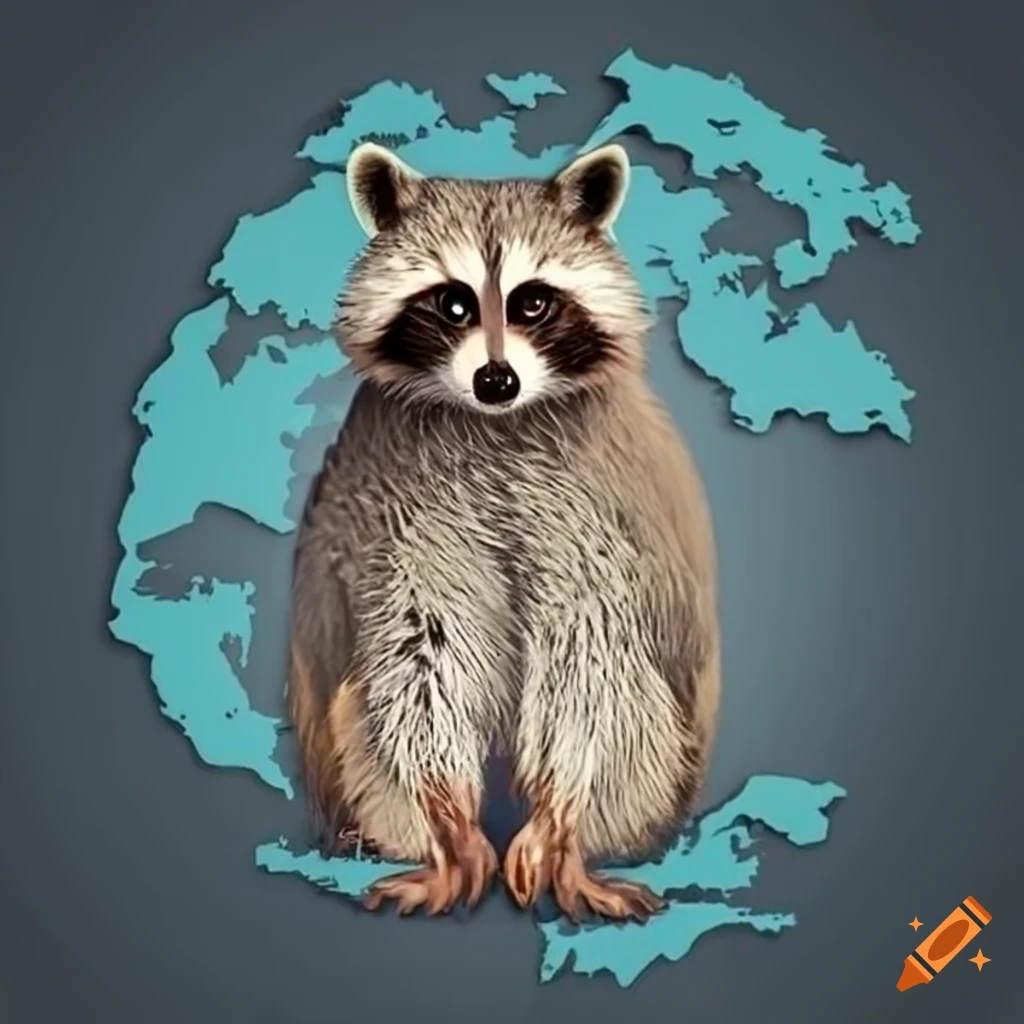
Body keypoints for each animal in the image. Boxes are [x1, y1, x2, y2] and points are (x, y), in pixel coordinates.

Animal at [287, 140, 720, 921]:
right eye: (452, 302)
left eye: (533, 301)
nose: (497, 381)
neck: (496, 425)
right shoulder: (402, 509)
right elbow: (419, 658)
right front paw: (447, 820)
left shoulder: (602, 513)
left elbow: (593, 666)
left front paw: (559, 823)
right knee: (366, 717)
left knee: (634, 707)